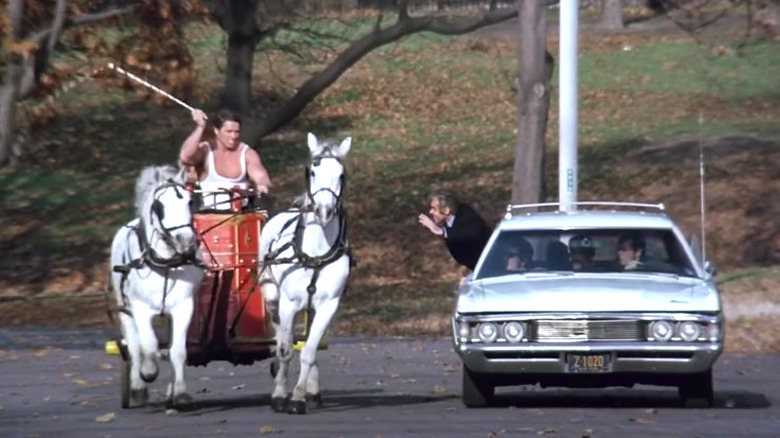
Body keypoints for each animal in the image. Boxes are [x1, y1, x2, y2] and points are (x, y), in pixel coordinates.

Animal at [112, 164, 204, 408]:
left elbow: (177, 351)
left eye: (190, 201)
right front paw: (148, 371)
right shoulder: (140, 308)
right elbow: (148, 344)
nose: (186, 240)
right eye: (158, 206)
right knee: (134, 345)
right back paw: (136, 387)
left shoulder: (183, 307)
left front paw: (180, 393)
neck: (165, 264)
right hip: (125, 309)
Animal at [260, 133, 352, 414]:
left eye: (341, 174)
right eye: (312, 171)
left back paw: (312, 390)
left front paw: (299, 397)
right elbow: (285, 350)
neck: (316, 254)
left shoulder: (328, 305)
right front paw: (280, 396)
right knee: (281, 338)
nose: (324, 211)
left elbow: (310, 351)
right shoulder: (288, 304)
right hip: (272, 296)